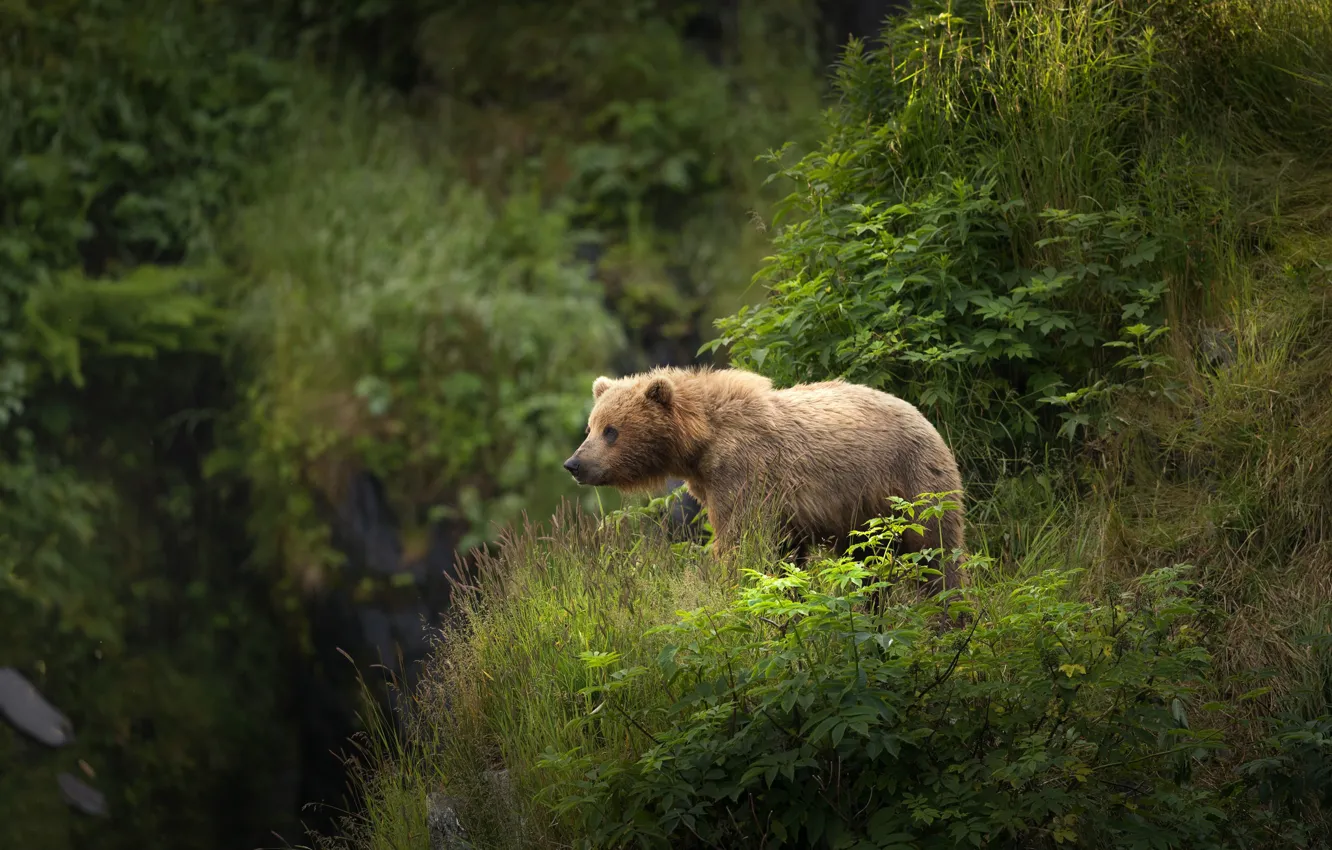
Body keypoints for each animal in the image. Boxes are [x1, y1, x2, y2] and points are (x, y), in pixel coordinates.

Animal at [562, 370, 969, 596]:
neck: (700, 443)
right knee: (866, 563)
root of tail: (926, 418)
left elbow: (743, 545)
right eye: (591, 427)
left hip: (913, 483)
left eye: (611, 430)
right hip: (866, 514)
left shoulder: (744, 473)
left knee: (936, 552)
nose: (574, 464)